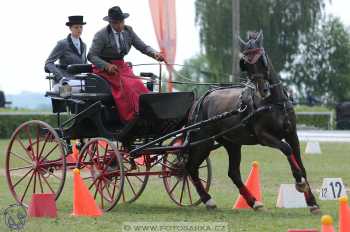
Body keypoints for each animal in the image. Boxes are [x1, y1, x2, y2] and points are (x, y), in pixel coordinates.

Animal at [185, 31, 322, 215]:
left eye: (261, 59)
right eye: (245, 64)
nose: (263, 90)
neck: (274, 103)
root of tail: (200, 99)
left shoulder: (292, 133)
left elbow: (300, 162)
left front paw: (312, 201)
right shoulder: (264, 137)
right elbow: (286, 149)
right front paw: (299, 183)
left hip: (231, 143)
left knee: (233, 172)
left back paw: (253, 202)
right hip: (203, 141)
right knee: (190, 167)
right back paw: (209, 200)